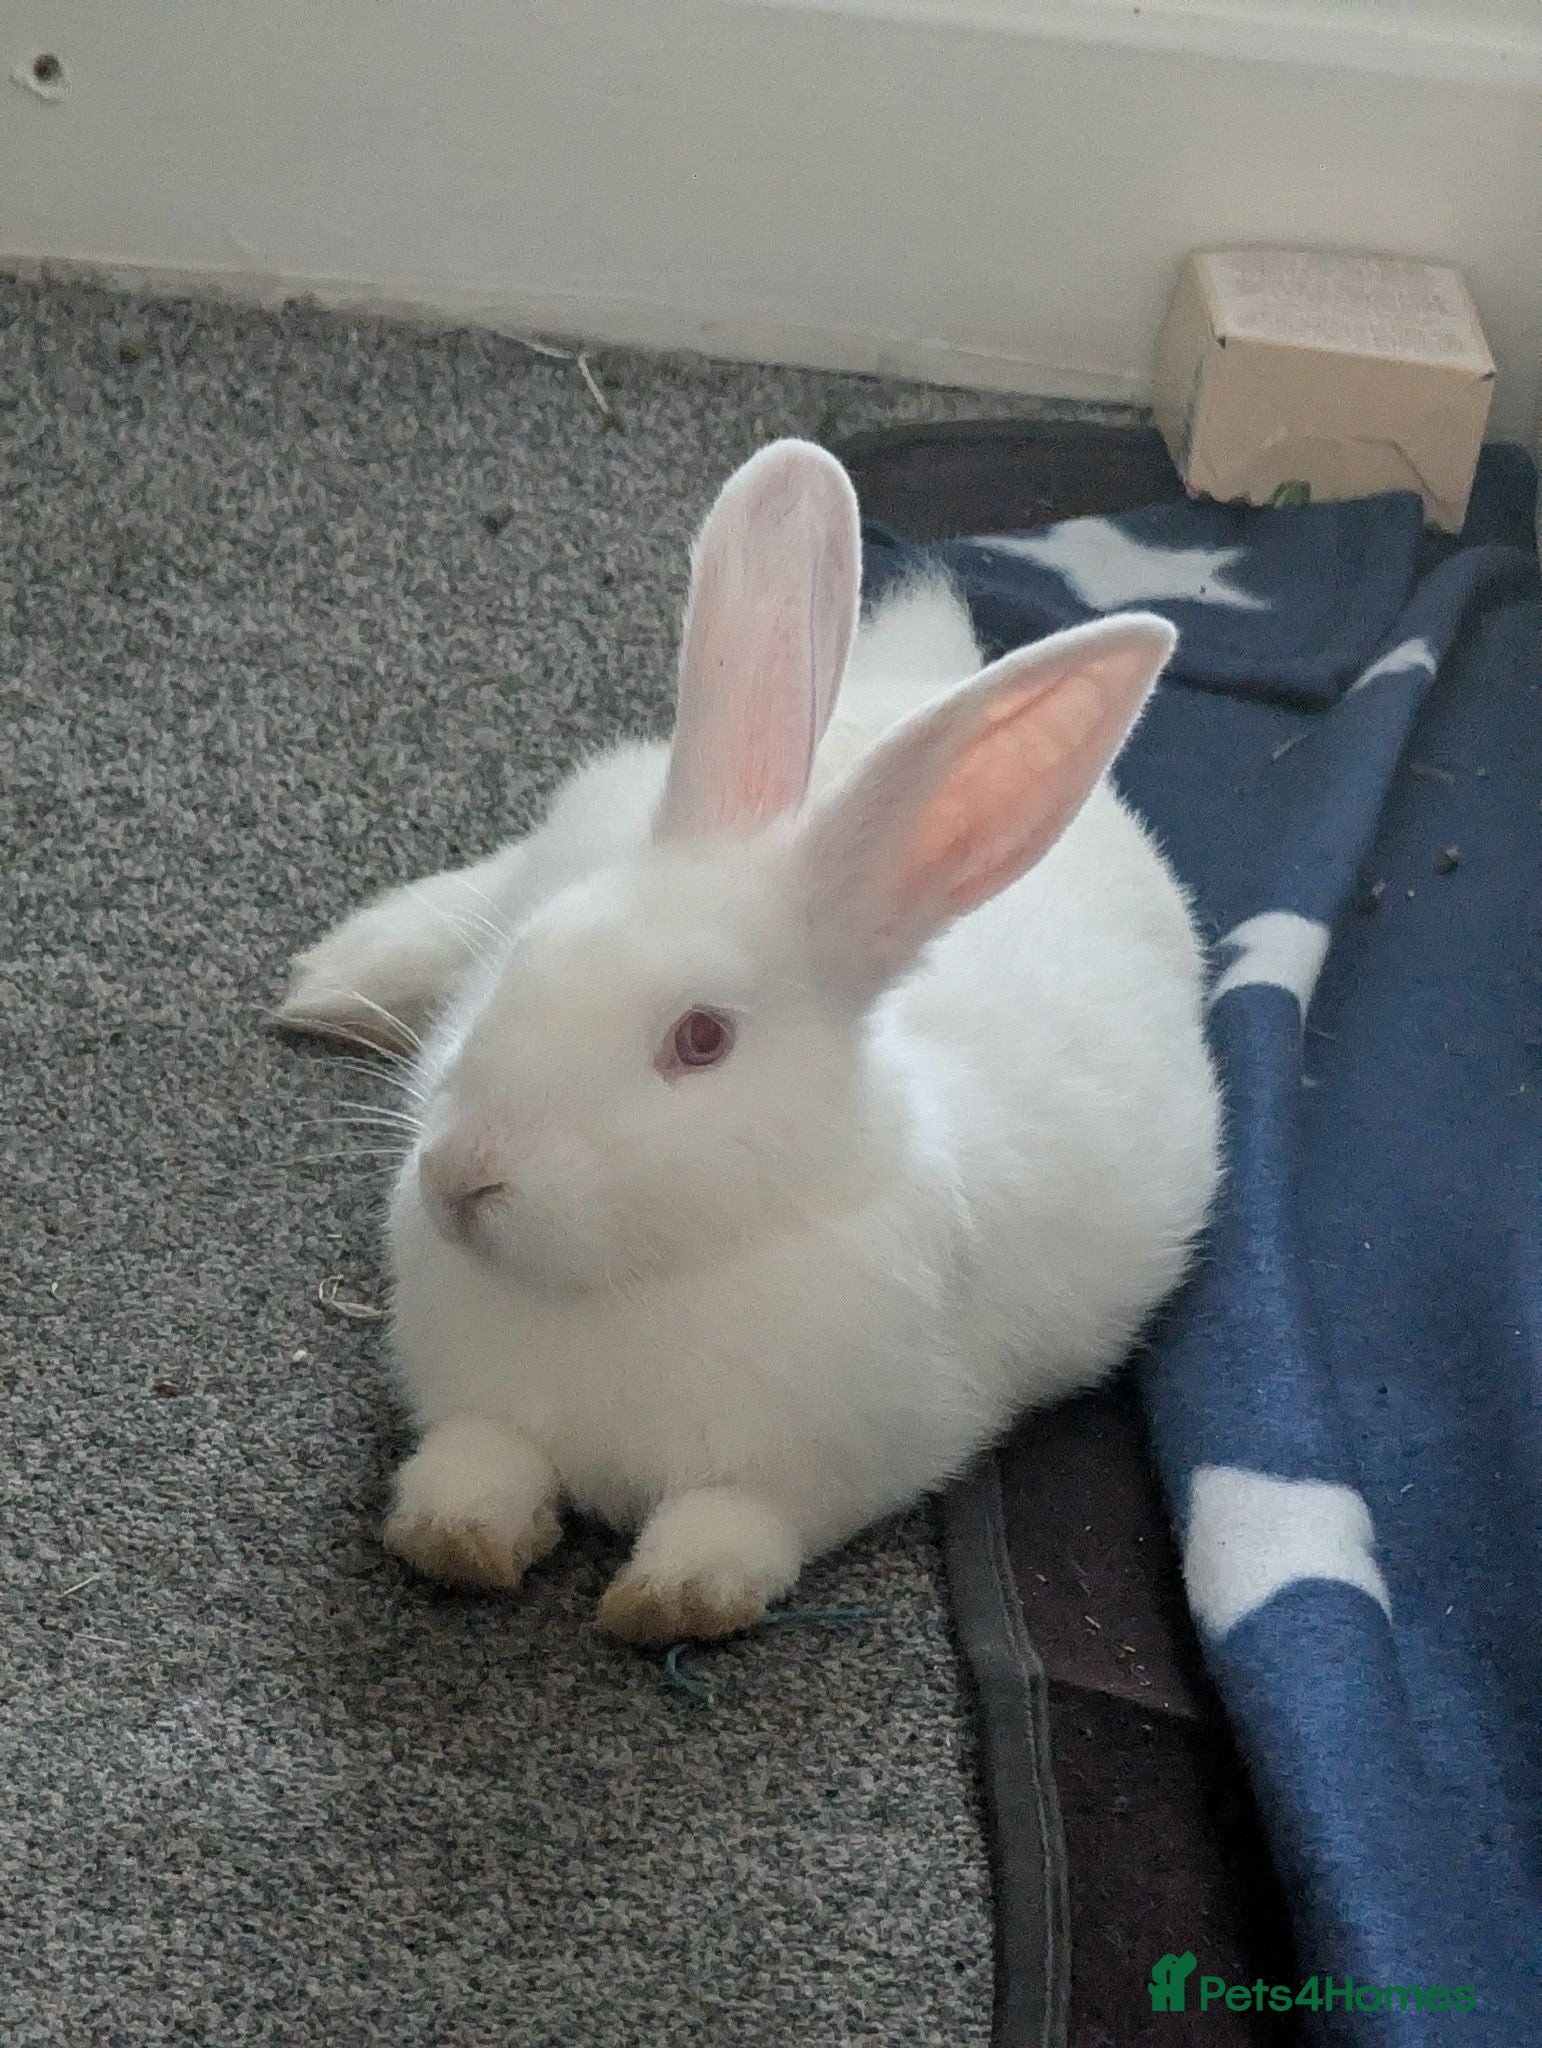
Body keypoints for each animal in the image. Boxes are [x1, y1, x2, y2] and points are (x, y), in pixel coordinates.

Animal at [280, 439, 1222, 1644]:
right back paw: (340, 978)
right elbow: (476, 1461)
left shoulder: (820, 1470)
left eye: (701, 1040)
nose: (459, 1179)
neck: (649, 1274)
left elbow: (734, 1524)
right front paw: (458, 1538)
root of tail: (911, 678)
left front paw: (669, 1602)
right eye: (531, 960)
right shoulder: (479, 1403)